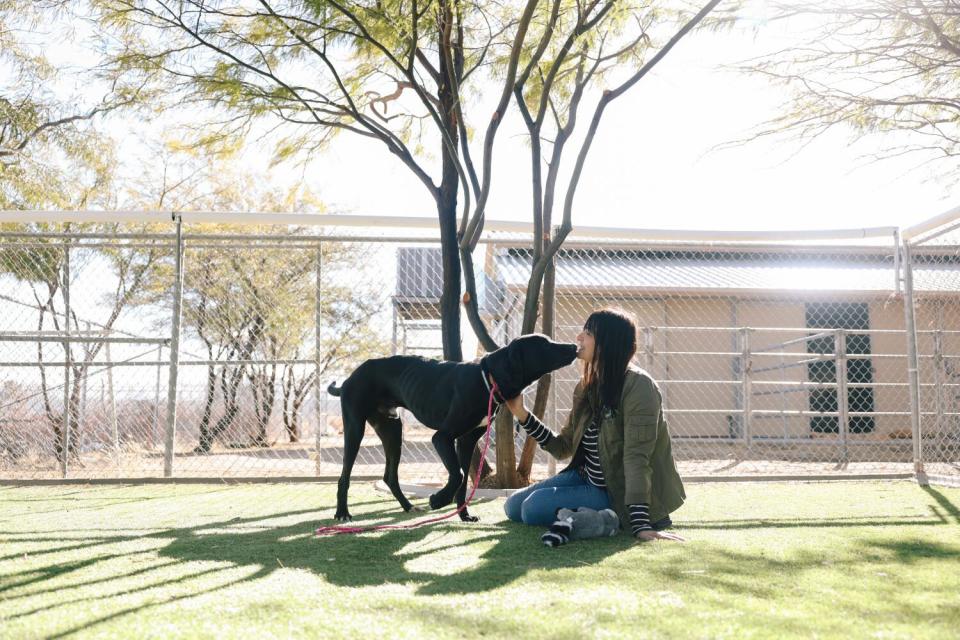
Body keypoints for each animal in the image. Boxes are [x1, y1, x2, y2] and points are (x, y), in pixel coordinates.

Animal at [330, 332, 572, 524]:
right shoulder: (443, 437)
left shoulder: (466, 441)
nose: (573, 347)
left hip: (393, 431)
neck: (488, 377)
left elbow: (463, 481)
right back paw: (343, 513)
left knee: (390, 476)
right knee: (344, 476)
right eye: (544, 345)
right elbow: (458, 474)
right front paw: (438, 500)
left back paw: (408, 506)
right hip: (355, 429)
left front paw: (464, 515)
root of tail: (350, 377)